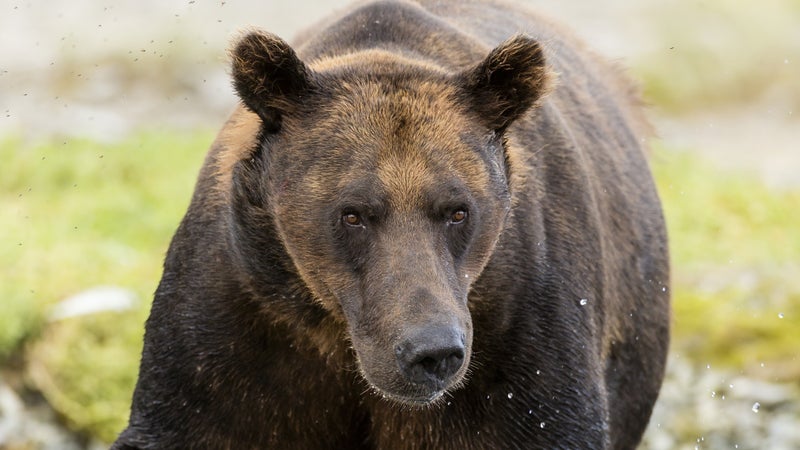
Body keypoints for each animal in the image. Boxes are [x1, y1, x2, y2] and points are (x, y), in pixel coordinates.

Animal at [114, 0, 668, 450]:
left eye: (458, 210)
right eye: (353, 213)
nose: (432, 351)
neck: (339, 335)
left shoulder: (517, 324)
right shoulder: (240, 318)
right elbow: (196, 417)